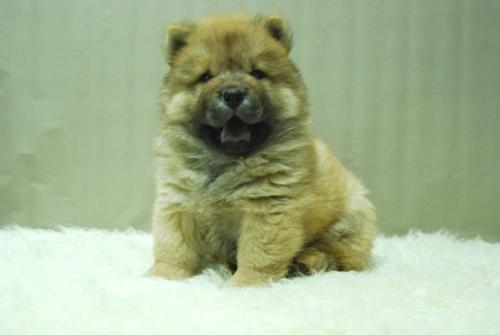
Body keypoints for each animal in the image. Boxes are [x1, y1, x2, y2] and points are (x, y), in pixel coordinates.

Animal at [147, 13, 376, 286]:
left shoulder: (268, 207)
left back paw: (306, 262)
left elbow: (257, 251)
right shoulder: (178, 202)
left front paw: (246, 284)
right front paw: (162, 277)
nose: (233, 94)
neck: (225, 162)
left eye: (256, 73)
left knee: (337, 253)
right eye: (205, 77)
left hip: (349, 219)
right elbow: (173, 245)